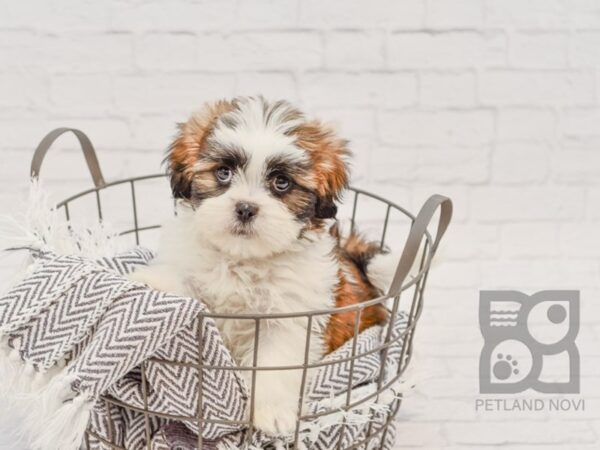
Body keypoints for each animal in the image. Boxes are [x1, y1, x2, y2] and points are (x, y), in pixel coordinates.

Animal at [131, 96, 392, 434]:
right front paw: (153, 282)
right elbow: (184, 286)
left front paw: (273, 414)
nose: (245, 208)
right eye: (223, 173)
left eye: (281, 182)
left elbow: (275, 363)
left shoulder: (288, 319)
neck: (243, 258)